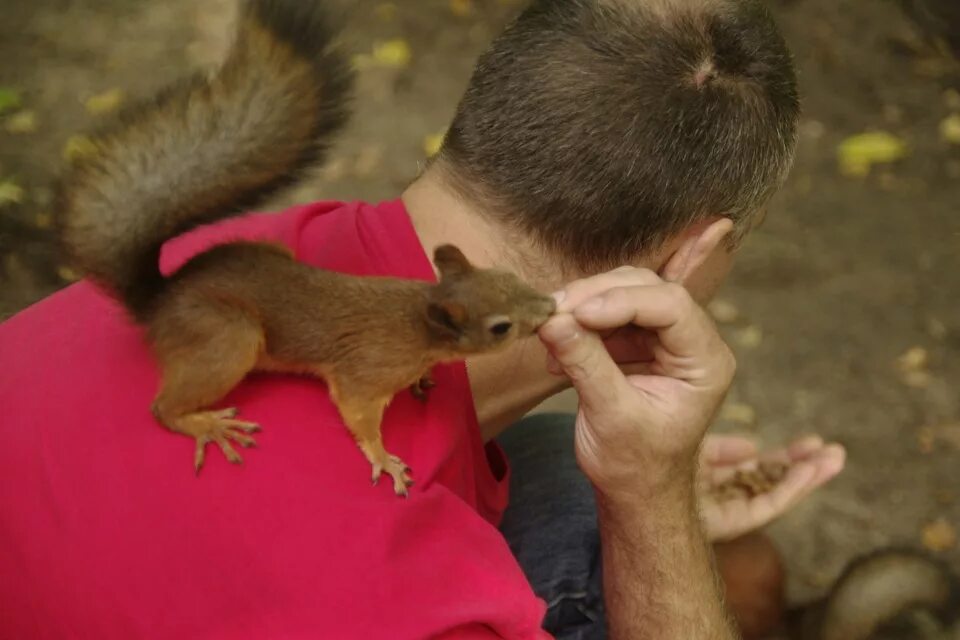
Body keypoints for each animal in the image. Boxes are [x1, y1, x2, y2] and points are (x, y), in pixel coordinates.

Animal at [52, 0, 560, 496]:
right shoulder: (364, 375)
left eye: (509, 277)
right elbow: (359, 416)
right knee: (162, 408)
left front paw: (424, 378)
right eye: (500, 328)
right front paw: (384, 459)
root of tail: (160, 299)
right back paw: (204, 425)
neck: (419, 321)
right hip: (228, 335)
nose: (550, 307)